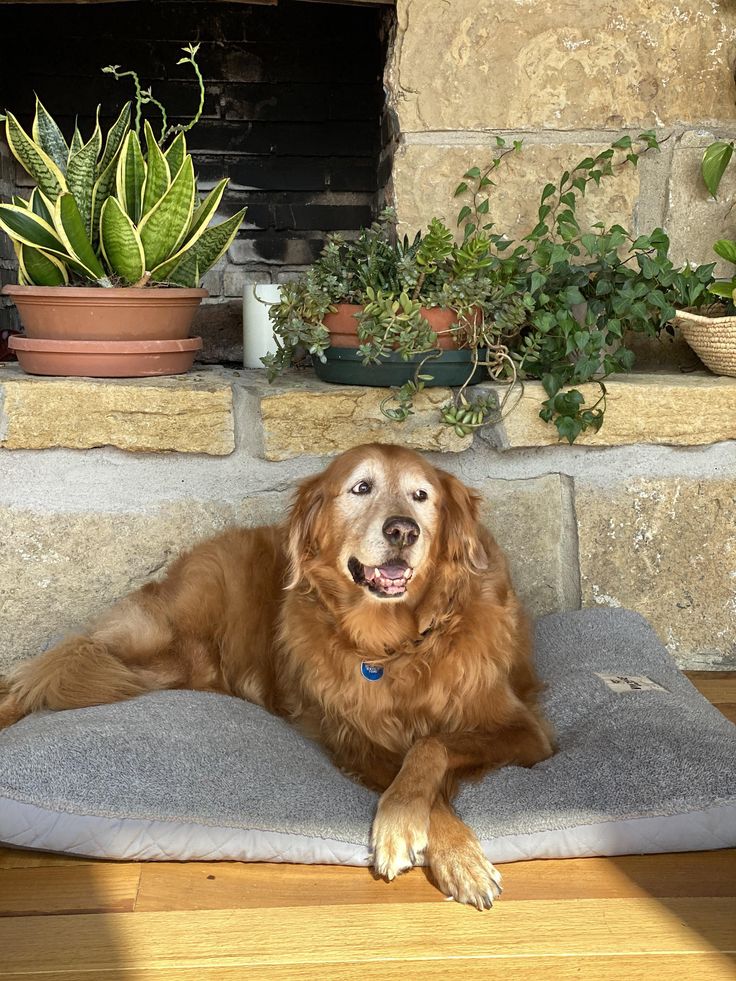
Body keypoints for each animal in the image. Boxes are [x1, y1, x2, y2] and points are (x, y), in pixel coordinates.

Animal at [0, 446, 552, 912]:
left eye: (422, 496)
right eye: (362, 487)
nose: (403, 530)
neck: (394, 647)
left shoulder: (524, 732)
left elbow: (430, 746)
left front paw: (437, 843)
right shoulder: (357, 741)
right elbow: (424, 776)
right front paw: (435, 841)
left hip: (160, 670)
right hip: (154, 645)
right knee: (38, 673)